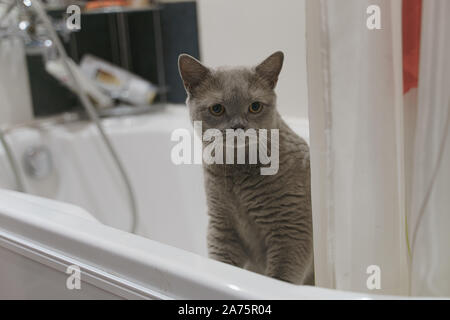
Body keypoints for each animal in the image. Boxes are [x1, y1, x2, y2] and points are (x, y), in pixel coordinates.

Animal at [178, 52, 312, 284]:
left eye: (255, 107)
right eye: (217, 109)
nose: (238, 126)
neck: (237, 171)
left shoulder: (292, 230)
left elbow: (281, 277)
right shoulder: (223, 228)